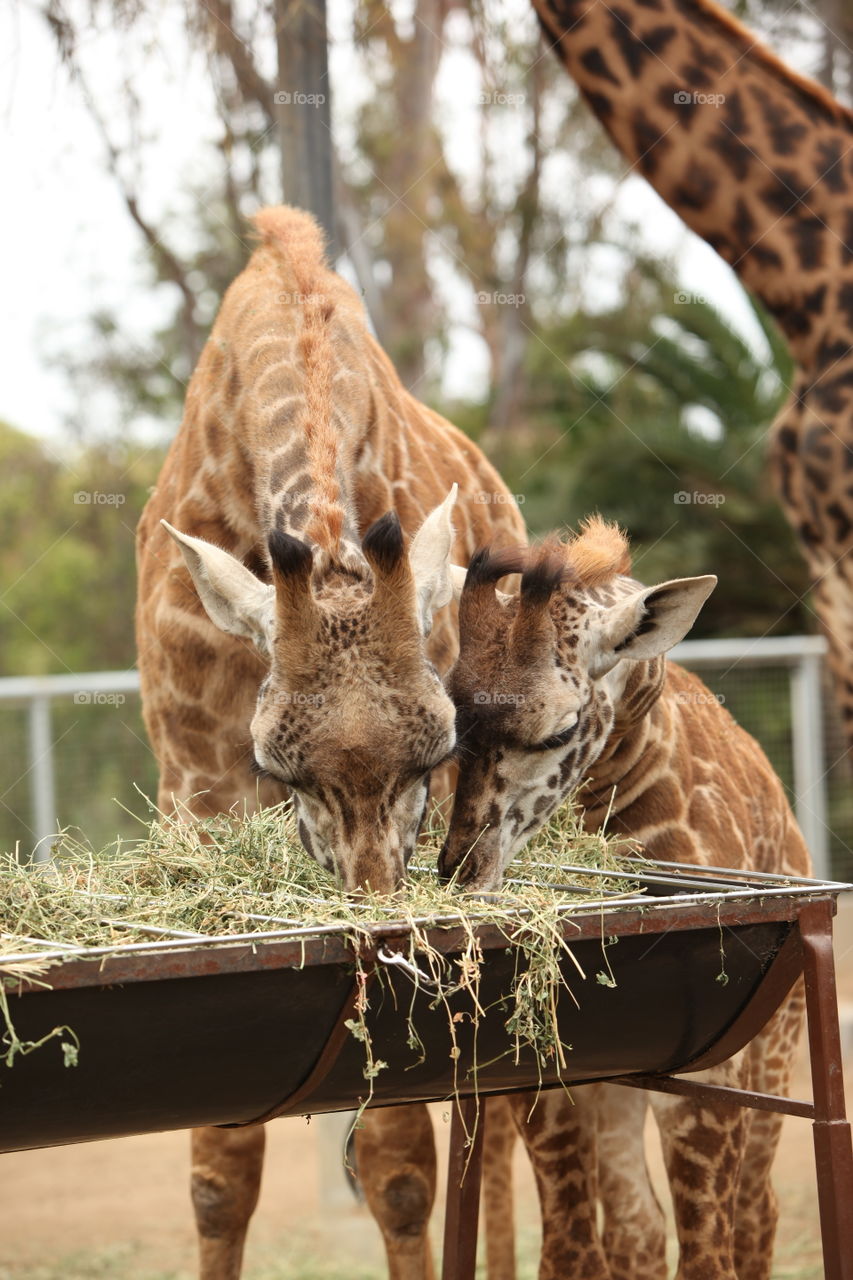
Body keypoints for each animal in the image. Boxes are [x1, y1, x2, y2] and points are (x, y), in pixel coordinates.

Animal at [440, 514, 809, 1274]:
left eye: (558, 728)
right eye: (455, 723)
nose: (460, 870)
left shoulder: (707, 1082)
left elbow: (705, 1253)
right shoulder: (550, 1086)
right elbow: (576, 1245)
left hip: (773, 1050)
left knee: (756, 1212)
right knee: (635, 1227)